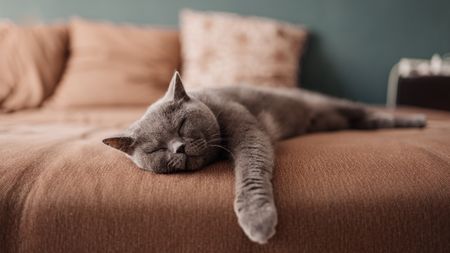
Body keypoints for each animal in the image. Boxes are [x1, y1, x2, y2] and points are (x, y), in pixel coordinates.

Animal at [102, 70, 426, 243]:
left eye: (181, 125)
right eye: (156, 149)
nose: (178, 148)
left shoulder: (249, 132)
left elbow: (250, 168)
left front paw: (257, 220)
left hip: (336, 105)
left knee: (370, 113)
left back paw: (419, 120)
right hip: (338, 120)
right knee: (369, 121)